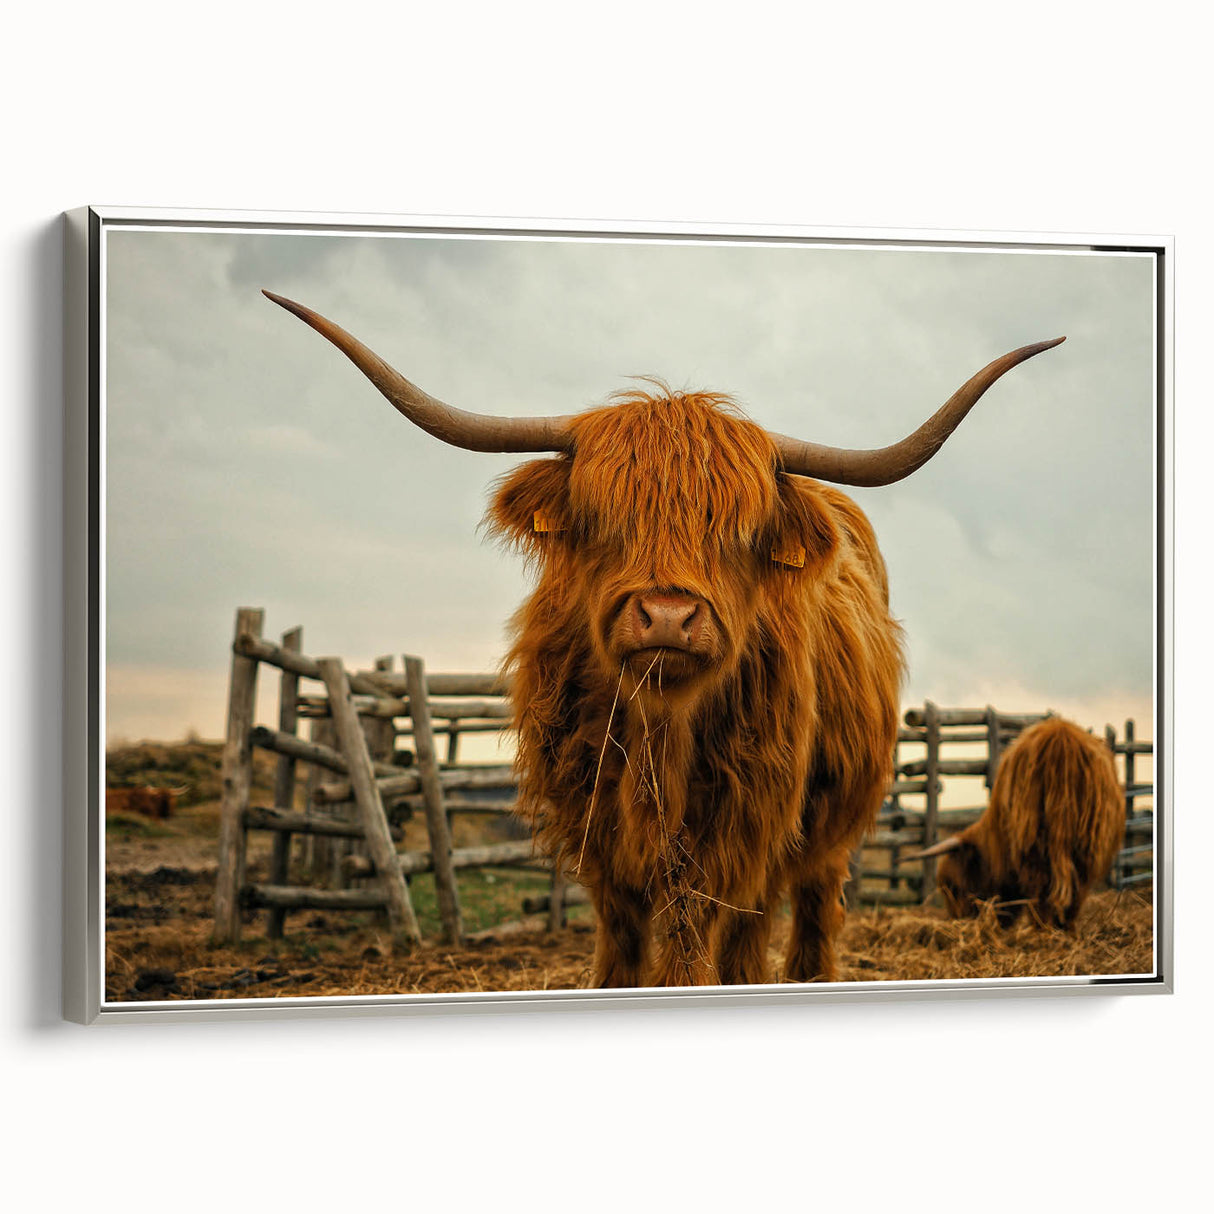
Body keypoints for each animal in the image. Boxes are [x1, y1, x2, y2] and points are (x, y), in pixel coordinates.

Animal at [264, 288, 1063, 986]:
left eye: (738, 531)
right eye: (602, 517)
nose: (669, 618)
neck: (660, 730)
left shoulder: (735, 832)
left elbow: (697, 938)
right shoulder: (598, 836)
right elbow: (622, 940)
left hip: (826, 830)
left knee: (801, 915)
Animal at [903, 717, 1124, 928]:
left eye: (953, 887)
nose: (957, 920)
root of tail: (1061, 738)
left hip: (1033, 840)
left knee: (1043, 888)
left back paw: (1041, 928)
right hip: (1088, 843)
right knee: (1076, 888)